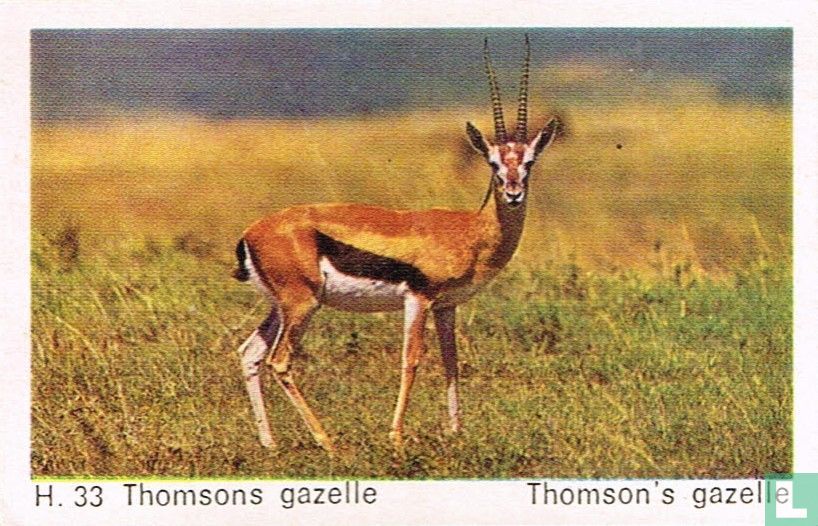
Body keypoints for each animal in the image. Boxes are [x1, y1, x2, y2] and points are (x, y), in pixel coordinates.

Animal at [233, 36, 559, 452]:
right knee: (279, 361)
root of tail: (251, 233)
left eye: (529, 162)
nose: (514, 194)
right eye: (493, 163)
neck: (471, 231)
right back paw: (328, 442)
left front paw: (456, 432)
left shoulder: (446, 306)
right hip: (301, 304)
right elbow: (412, 360)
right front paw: (396, 436)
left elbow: (450, 360)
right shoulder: (418, 298)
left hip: (281, 306)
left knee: (250, 354)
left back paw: (270, 443)